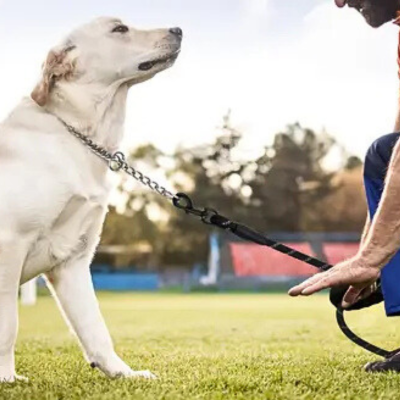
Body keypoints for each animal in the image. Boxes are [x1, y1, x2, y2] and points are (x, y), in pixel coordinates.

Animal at [0, 17, 183, 382]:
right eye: (119, 29)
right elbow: (8, 324)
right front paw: (6, 377)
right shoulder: (9, 243)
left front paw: (122, 372)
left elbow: (95, 327)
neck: (77, 134)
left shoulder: (73, 260)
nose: (179, 30)